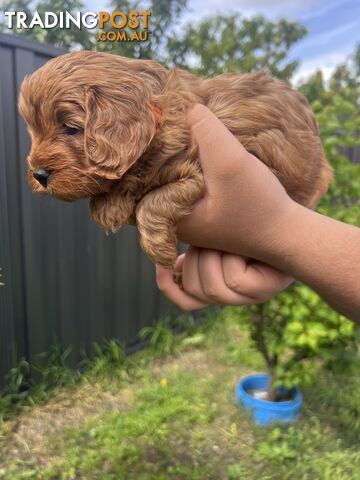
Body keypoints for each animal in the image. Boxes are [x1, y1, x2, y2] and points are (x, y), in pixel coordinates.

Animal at [17, 51, 332, 266]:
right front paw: (111, 205)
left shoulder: (194, 171)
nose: (38, 175)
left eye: (70, 128)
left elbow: (153, 202)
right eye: (33, 131)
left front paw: (160, 249)